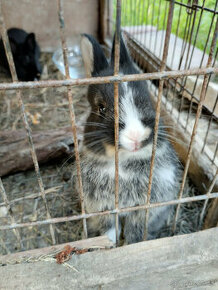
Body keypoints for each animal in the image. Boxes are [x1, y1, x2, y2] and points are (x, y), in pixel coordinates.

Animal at [72, 32, 182, 245]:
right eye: (101, 108)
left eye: (148, 99)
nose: (136, 136)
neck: (122, 162)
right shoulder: (103, 208)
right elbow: (109, 229)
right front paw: (110, 244)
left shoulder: (143, 210)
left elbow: (134, 231)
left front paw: (132, 244)